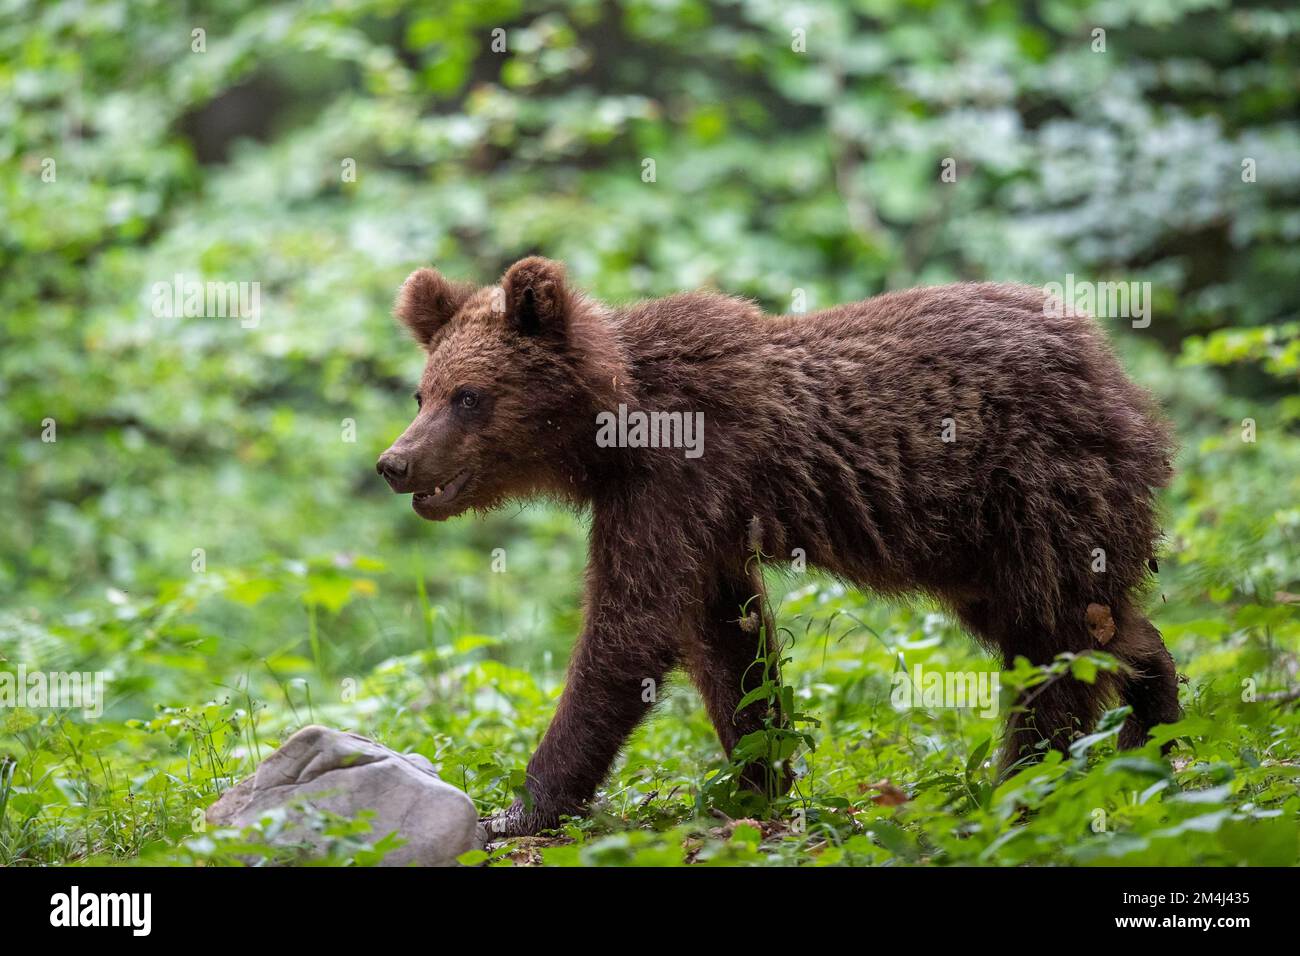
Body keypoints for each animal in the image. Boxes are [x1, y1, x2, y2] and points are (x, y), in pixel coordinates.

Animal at [376, 257, 1181, 837]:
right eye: (423, 392)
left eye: (469, 396)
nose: (395, 462)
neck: (615, 430)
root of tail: (1109, 361)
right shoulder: (704, 522)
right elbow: (728, 643)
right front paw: (755, 783)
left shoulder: (682, 475)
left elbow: (627, 632)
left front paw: (521, 807)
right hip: (978, 546)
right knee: (1097, 623)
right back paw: (1154, 727)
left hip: (1033, 488)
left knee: (1054, 641)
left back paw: (1027, 784)